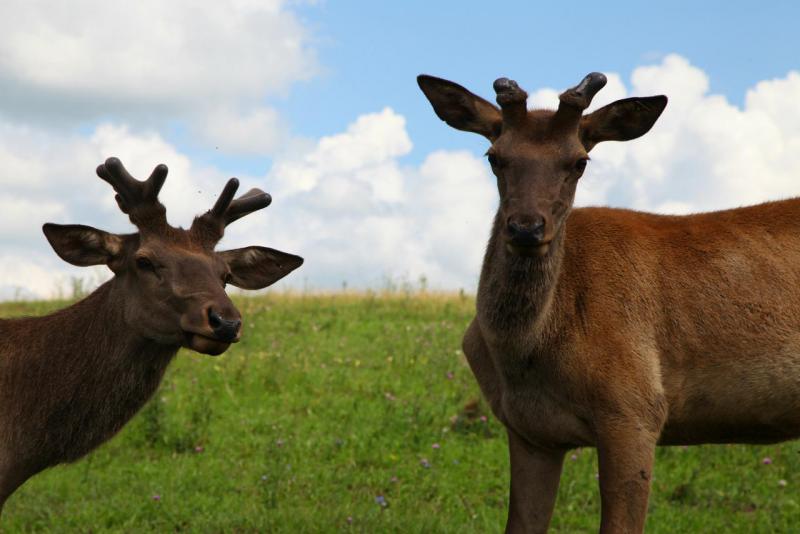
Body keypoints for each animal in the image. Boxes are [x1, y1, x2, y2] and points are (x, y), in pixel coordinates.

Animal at [416, 72, 800, 534]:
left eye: (579, 161)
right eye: (494, 156)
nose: (526, 228)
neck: (528, 356)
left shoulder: (634, 406)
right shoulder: (529, 430)